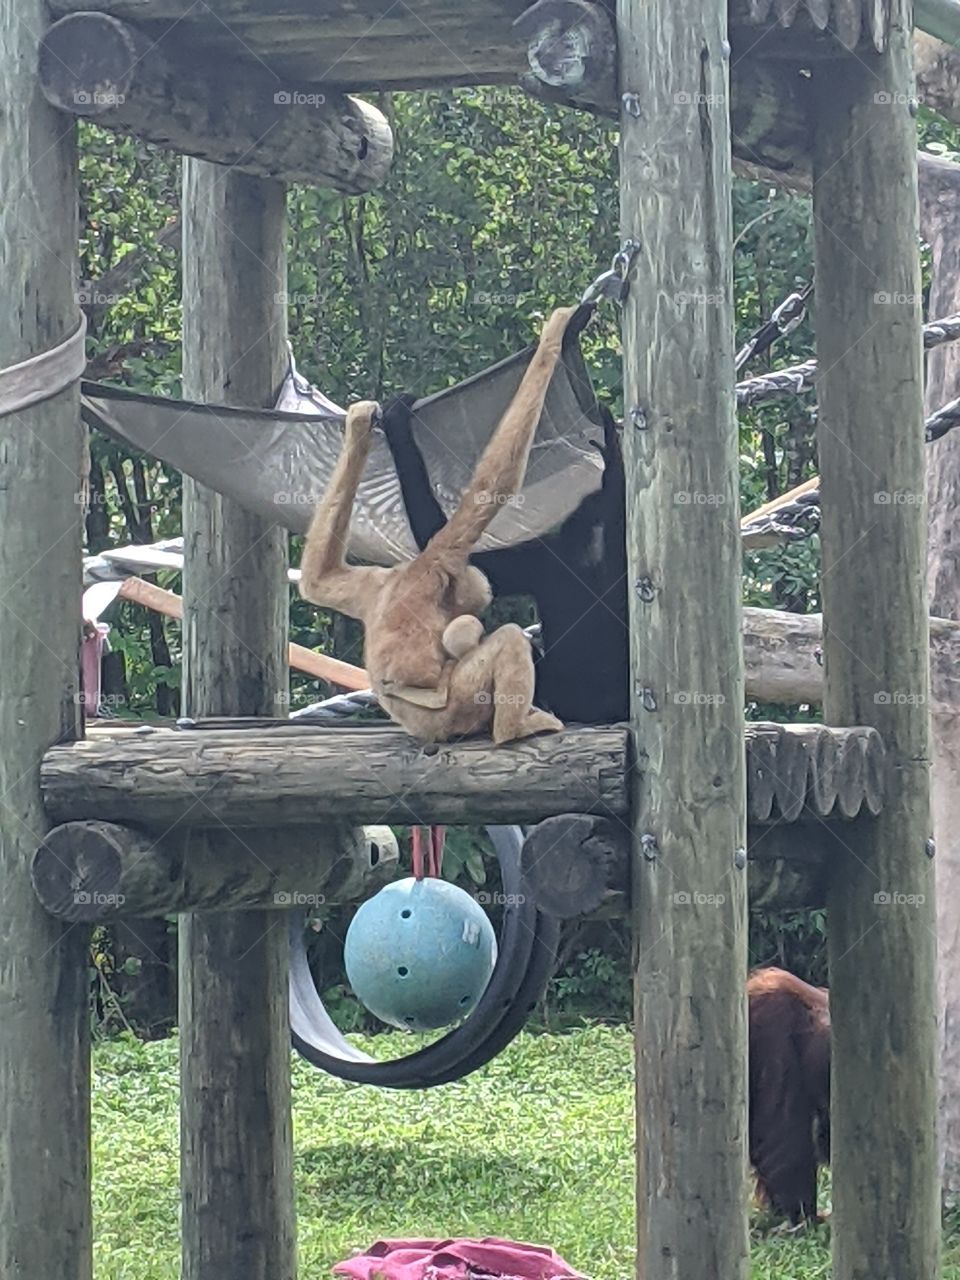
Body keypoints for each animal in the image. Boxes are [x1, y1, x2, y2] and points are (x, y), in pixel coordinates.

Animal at [298, 306, 578, 744]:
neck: (416, 573)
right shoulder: (439, 558)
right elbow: (491, 490)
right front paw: (553, 334)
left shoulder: (373, 585)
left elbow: (318, 579)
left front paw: (359, 428)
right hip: (457, 707)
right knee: (506, 640)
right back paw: (512, 728)